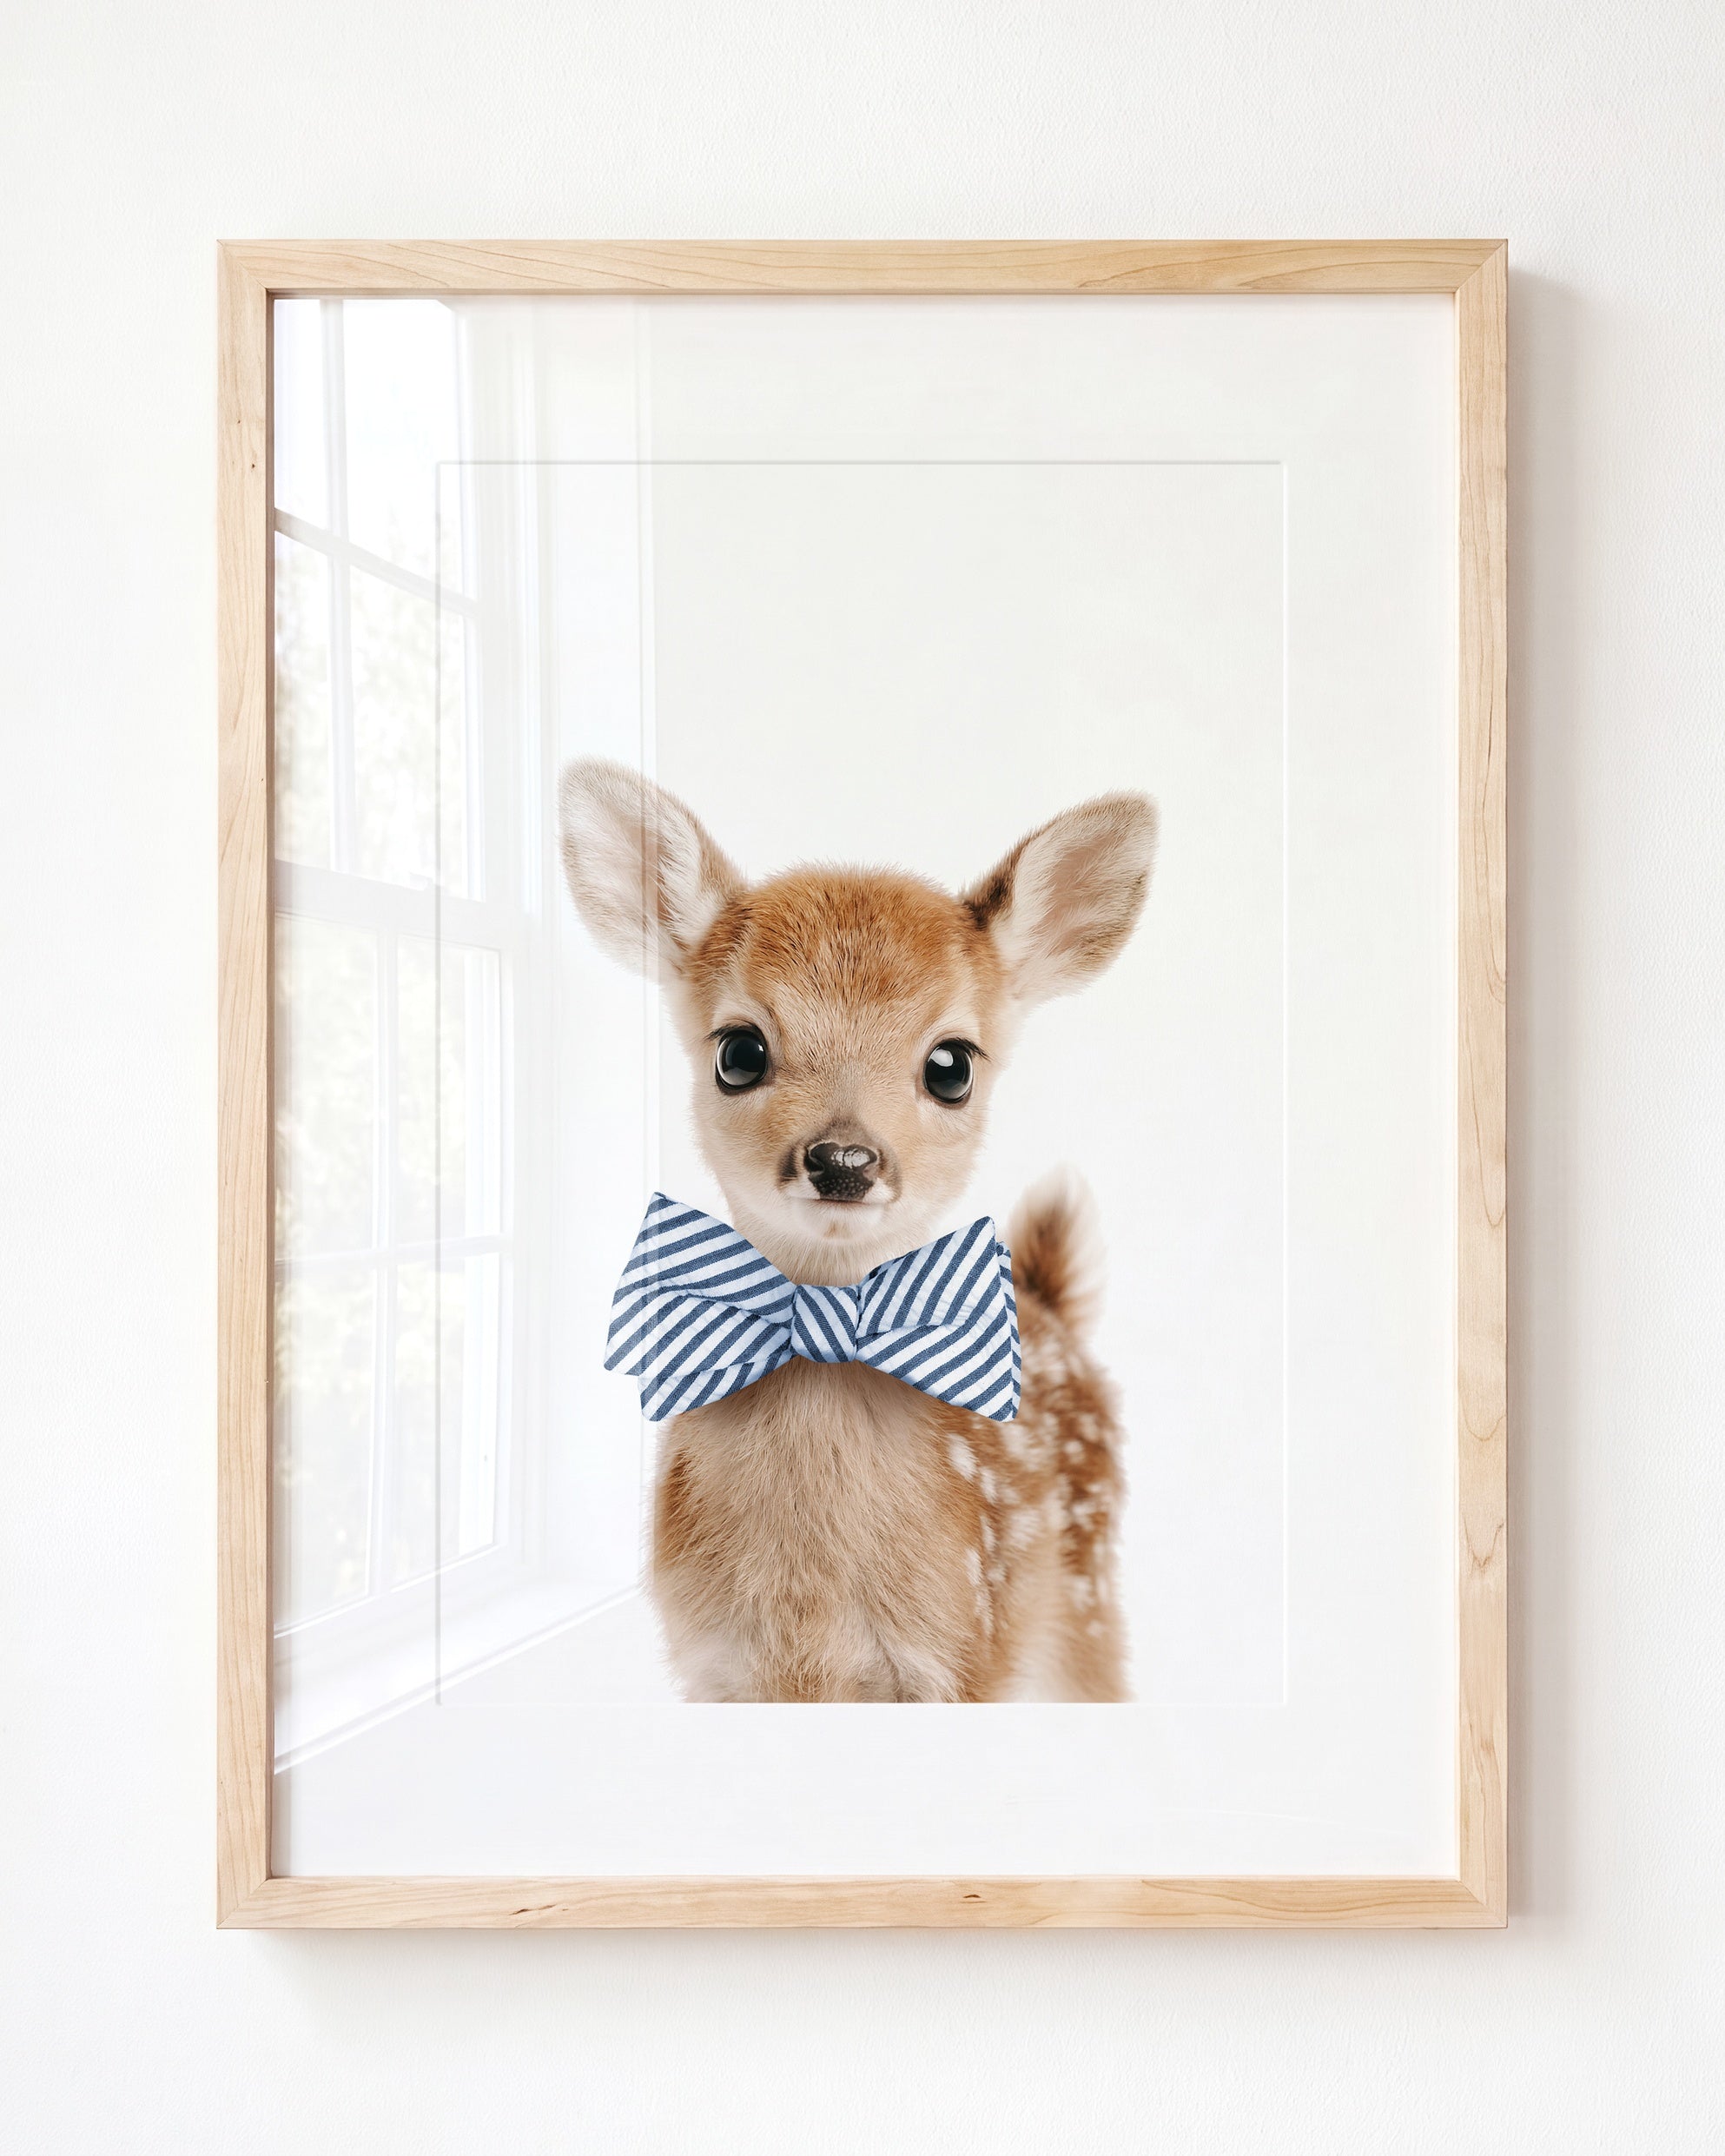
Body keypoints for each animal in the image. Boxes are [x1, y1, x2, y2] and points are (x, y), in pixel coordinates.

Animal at [558, 759, 1157, 1702]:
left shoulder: (962, 1655)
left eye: (951, 1065)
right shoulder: (713, 1666)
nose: (843, 1158)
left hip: (1085, 1605)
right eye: (738, 1051)